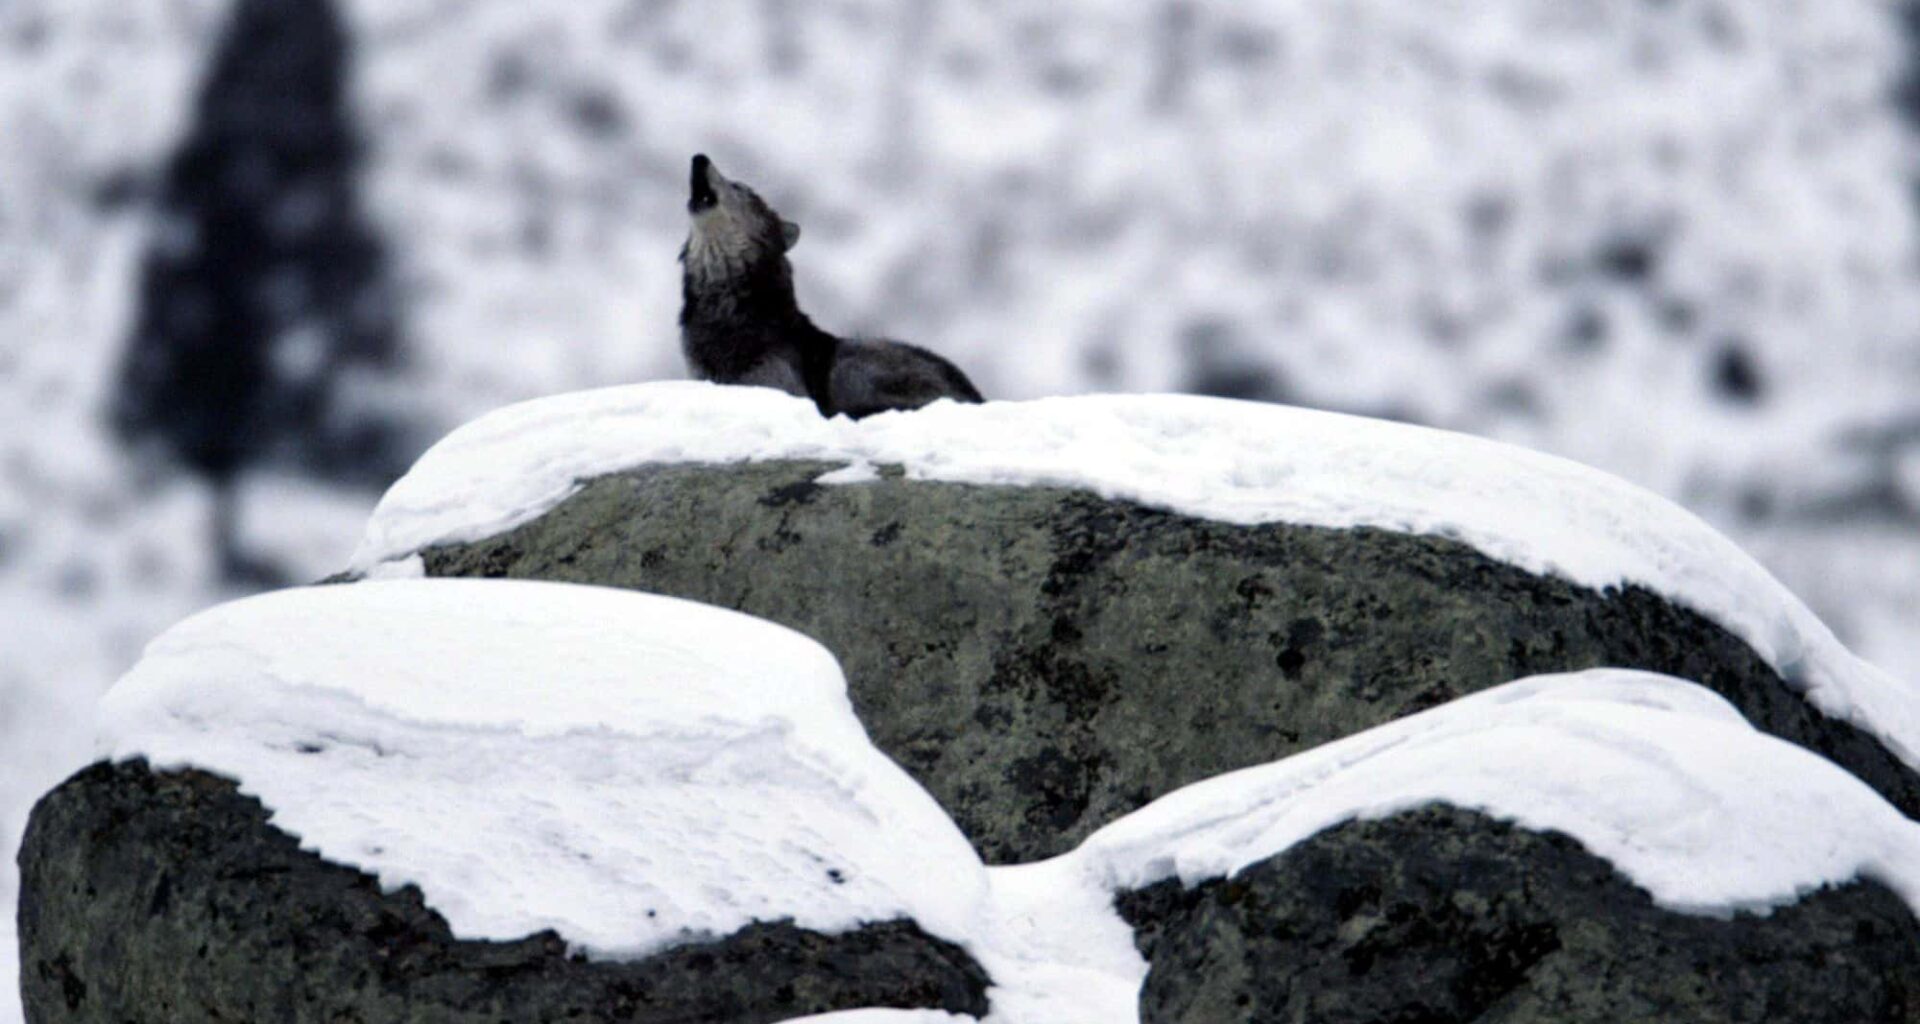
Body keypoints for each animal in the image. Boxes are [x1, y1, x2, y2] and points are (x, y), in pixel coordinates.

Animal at [679, 154, 983, 418]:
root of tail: (976, 398)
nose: (698, 158)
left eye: (739, 187)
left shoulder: (778, 386)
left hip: (852, 363)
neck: (727, 308)